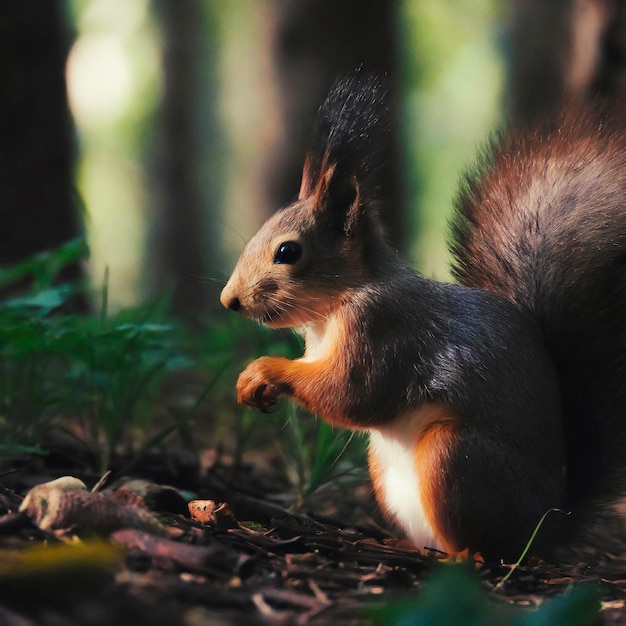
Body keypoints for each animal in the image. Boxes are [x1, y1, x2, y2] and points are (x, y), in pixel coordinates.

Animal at [218, 74, 624, 560]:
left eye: (287, 252)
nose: (229, 300)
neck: (334, 306)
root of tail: (546, 528)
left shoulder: (383, 330)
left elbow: (353, 394)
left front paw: (264, 371)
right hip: (384, 468)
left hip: (455, 456)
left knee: (484, 545)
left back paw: (464, 555)